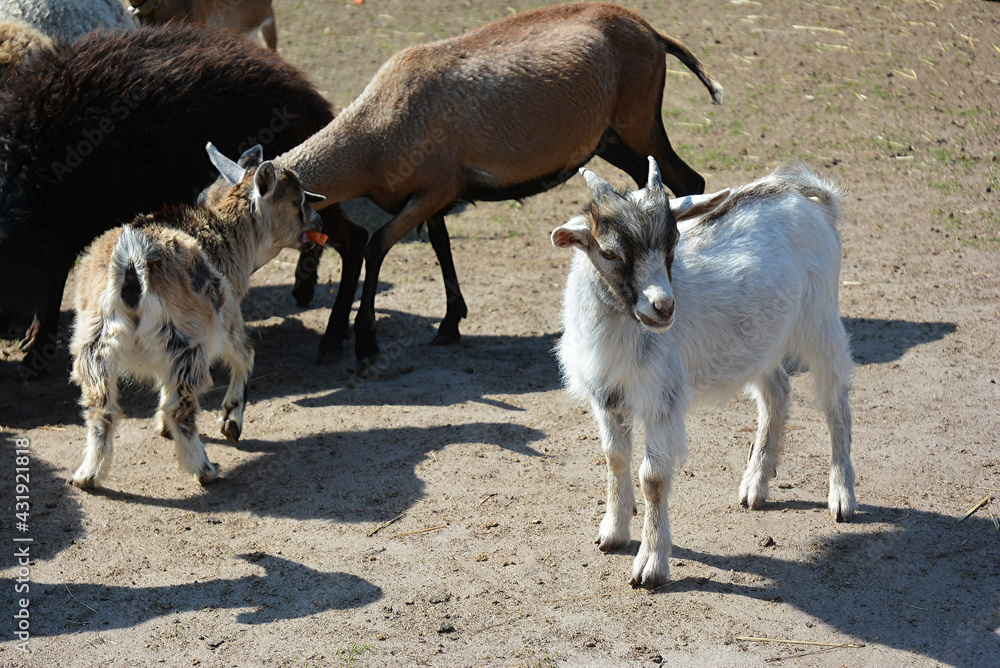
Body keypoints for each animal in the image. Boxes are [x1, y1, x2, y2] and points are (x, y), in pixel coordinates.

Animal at [0, 22, 366, 379]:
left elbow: (52, 288)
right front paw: (35, 344)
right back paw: (306, 292)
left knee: (354, 238)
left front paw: (35, 355)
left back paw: (335, 338)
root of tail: (309, 96)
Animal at [69, 144, 322, 489]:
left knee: (100, 409)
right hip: (185, 339)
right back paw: (204, 469)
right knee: (183, 408)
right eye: (296, 202)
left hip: (94, 342)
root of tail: (132, 258)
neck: (227, 234)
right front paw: (231, 421)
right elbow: (246, 355)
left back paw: (88, 475)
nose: (318, 221)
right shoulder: (225, 316)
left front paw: (161, 425)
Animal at [267, 2, 722, 365]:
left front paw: (364, 344)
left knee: (689, 178)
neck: (370, 137)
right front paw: (450, 323)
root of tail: (651, 31)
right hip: (611, 138)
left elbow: (377, 245)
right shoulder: (436, 191)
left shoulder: (436, 190)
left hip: (639, 123)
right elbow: (441, 246)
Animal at [553, 158, 857, 589]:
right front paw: (612, 532)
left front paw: (650, 564)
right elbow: (614, 458)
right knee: (777, 392)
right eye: (609, 252)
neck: (620, 326)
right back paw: (755, 486)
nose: (664, 307)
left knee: (836, 404)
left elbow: (653, 477)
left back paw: (842, 497)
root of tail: (811, 199)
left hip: (821, 319)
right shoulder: (607, 394)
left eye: (673, 242)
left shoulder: (662, 398)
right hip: (761, 338)